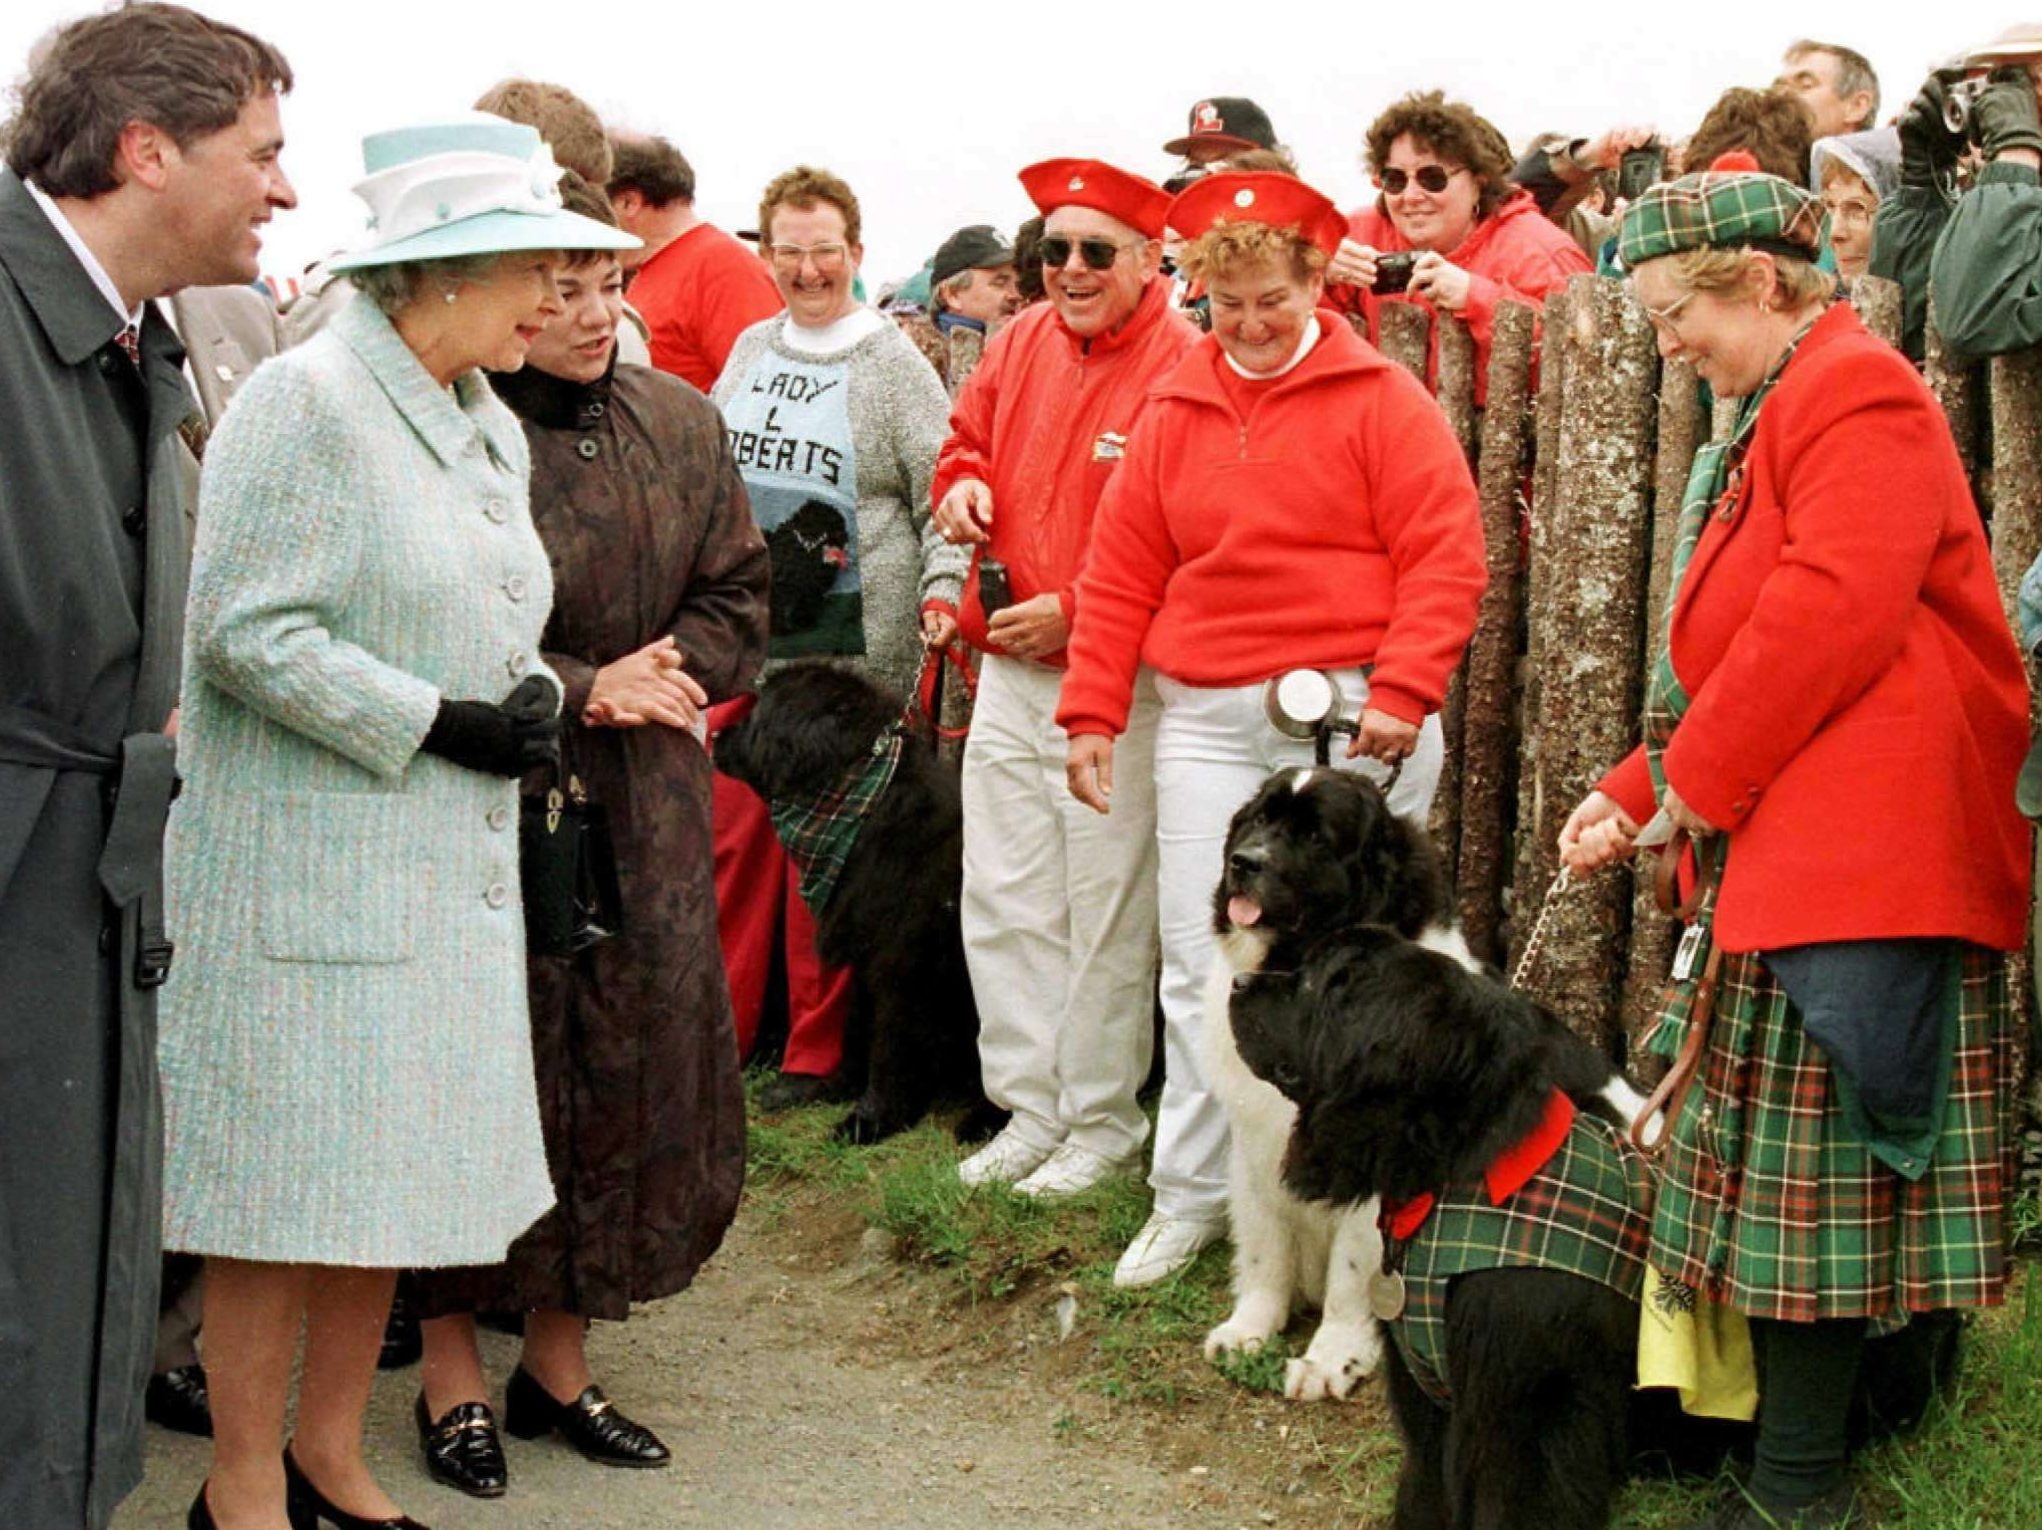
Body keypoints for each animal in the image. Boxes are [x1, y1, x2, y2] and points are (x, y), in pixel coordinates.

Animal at [710, 661, 988, 1143]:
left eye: (758, 711)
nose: (716, 734)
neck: (860, 810)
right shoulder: (865, 952)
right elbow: (857, 1026)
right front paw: (836, 1085)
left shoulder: (903, 966)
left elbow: (890, 1046)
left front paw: (870, 1119)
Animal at [1192, 768, 1641, 1405]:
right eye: (1258, 819)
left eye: (1315, 837)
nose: (1243, 860)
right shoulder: (1255, 1145)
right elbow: (1263, 1245)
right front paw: (1250, 1326)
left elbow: (1353, 1271)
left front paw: (1332, 1356)